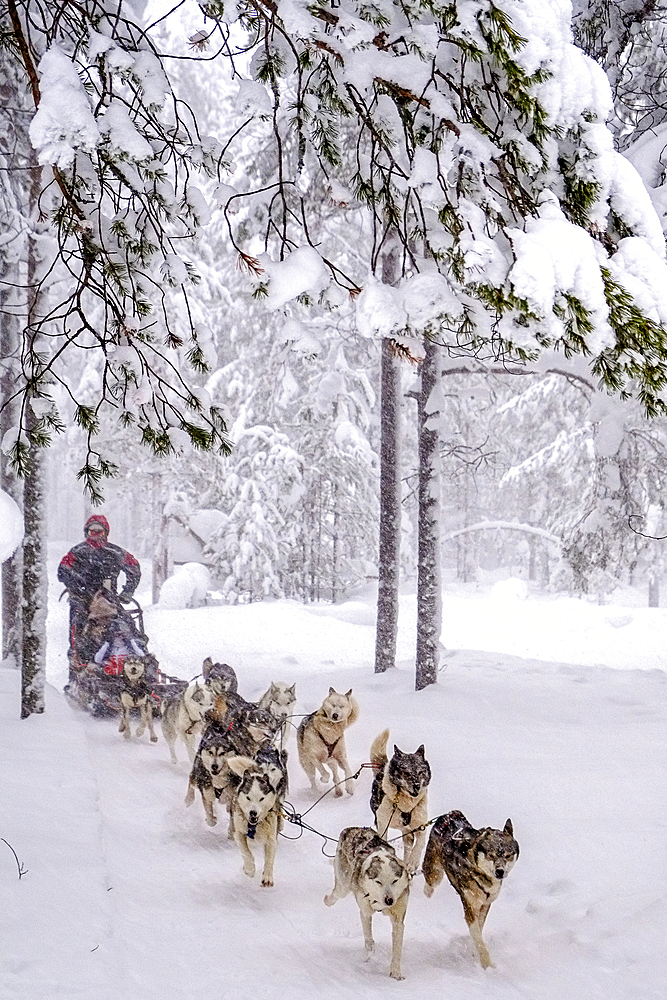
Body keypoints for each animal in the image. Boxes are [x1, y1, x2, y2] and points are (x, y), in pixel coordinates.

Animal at [324, 824, 412, 980]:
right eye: (378, 882)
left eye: (394, 881)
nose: (389, 900)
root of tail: (351, 828)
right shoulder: (365, 912)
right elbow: (369, 940)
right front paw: (368, 954)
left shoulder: (398, 918)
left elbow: (397, 948)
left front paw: (396, 972)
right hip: (343, 884)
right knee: (336, 893)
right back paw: (327, 900)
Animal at [370, 728, 434, 876]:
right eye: (406, 773)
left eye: (421, 772)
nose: (416, 786)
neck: (405, 804)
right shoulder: (383, 823)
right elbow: (383, 841)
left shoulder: (420, 826)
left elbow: (419, 844)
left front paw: (413, 862)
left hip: (408, 832)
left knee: (408, 846)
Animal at [422, 812, 520, 968]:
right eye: (491, 855)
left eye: (507, 855)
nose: (500, 871)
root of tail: (449, 815)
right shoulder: (470, 905)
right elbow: (477, 936)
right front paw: (486, 964)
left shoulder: (485, 904)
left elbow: (478, 930)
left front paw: (473, 950)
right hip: (435, 872)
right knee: (430, 880)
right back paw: (428, 893)